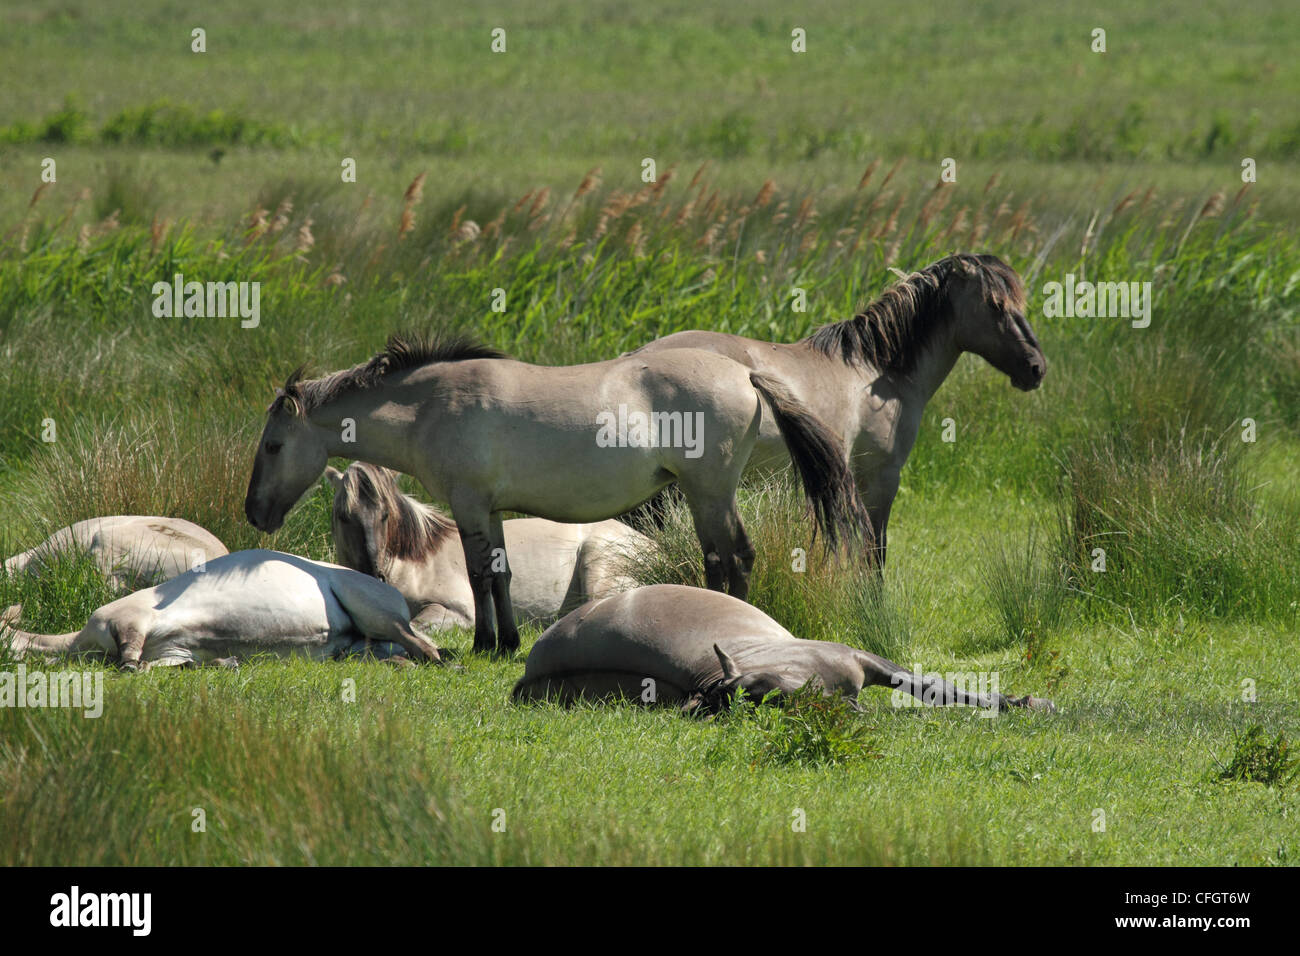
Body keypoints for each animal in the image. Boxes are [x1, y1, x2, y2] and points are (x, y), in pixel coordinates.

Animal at [1, 549, 441, 669]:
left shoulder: (133, 621)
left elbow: (130, 658)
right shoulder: (173, 651)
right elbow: (162, 664)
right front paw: (223, 662)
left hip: (374, 609)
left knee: (424, 646)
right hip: (359, 644)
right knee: (390, 651)